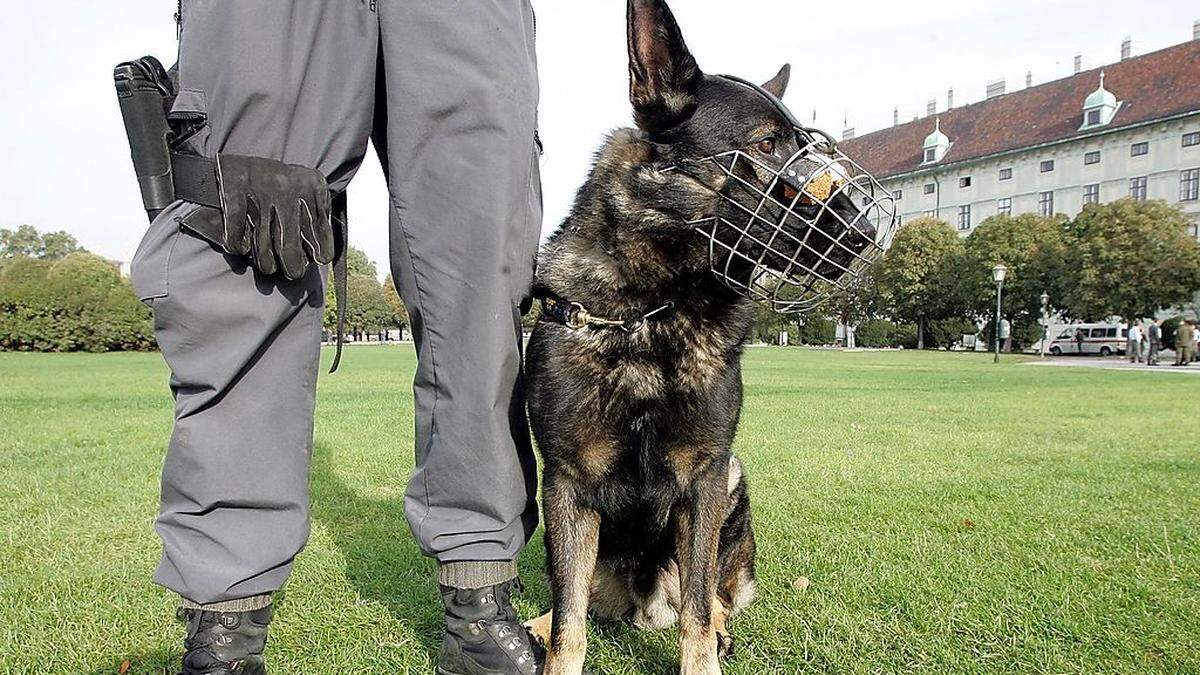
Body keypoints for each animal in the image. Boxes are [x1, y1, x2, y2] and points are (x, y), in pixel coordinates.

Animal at [525, 2, 883, 667]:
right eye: (766, 146)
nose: (866, 234)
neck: (653, 311)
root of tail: (644, 605)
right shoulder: (565, 482)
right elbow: (570, 622)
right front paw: (554, 646)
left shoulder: (705, 476)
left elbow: (695, 608)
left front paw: (705, 653)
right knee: (577, 599)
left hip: (733, 479)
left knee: (709, 591)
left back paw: (719, 623)